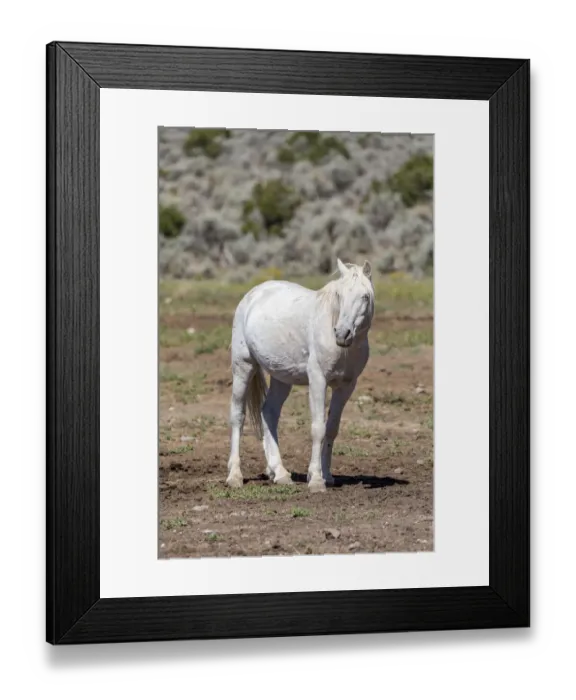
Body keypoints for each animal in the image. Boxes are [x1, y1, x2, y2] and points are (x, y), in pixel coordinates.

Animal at [226, 258, 375, 493]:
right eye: (339, 295)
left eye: (365, 296)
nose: (342, 334)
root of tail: (253, 294)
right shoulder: (318, 380)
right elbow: (318, 428)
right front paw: (316, 480)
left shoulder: (346, 386)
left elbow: (332, 428)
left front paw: (328, 476)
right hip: (243, 367)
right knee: (237, 416)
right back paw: (234, 476)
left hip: (281, 377)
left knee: (269, 413)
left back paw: (279, 473)